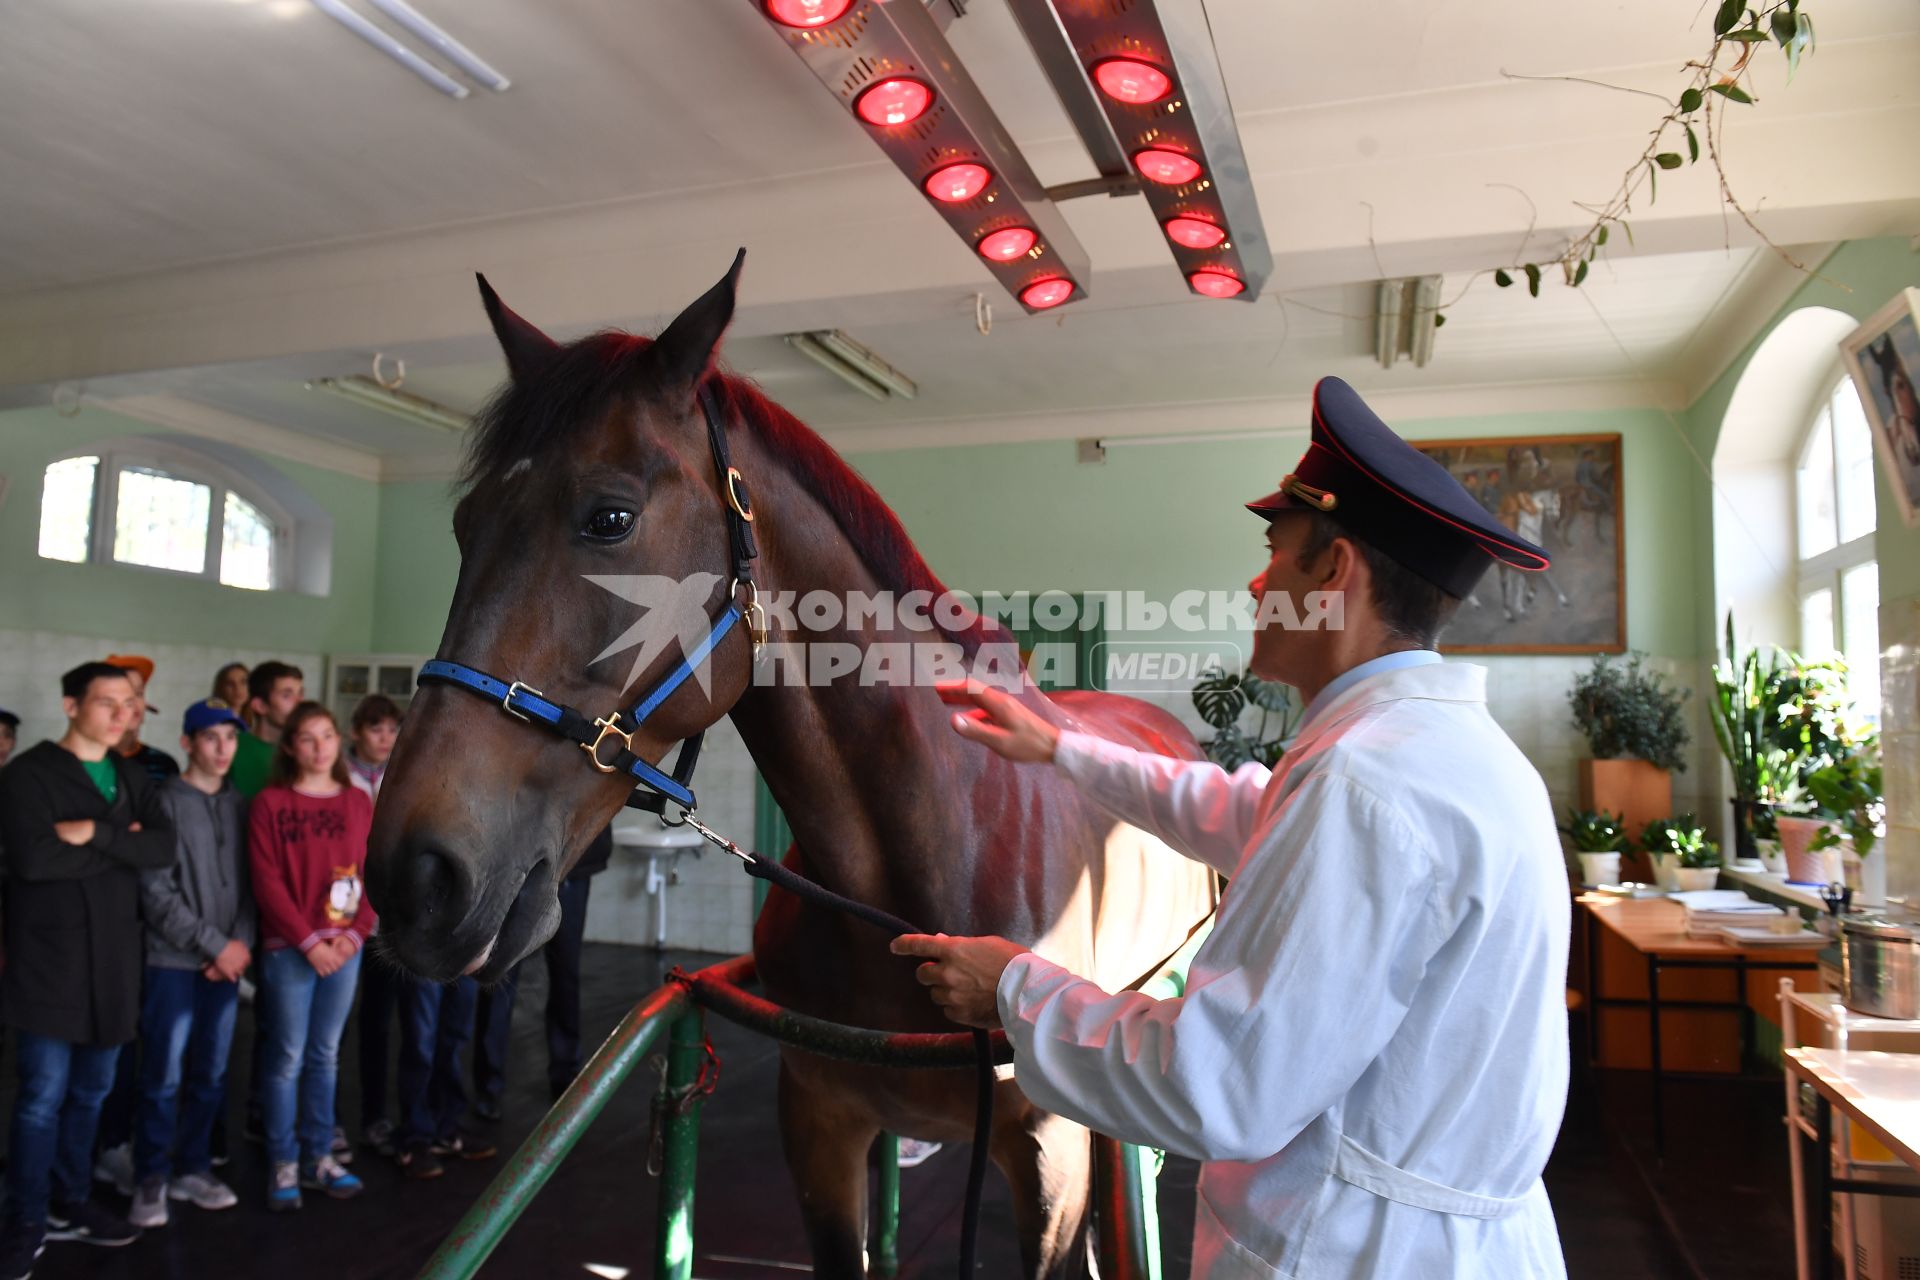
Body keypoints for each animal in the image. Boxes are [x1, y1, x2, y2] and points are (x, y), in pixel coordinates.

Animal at [362, 255, 1213, 1274]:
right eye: (464, 525)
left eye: (610, 517)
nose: (413, 876)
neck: (918, 870)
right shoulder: (821, 1131)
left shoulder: (1052, 1168)